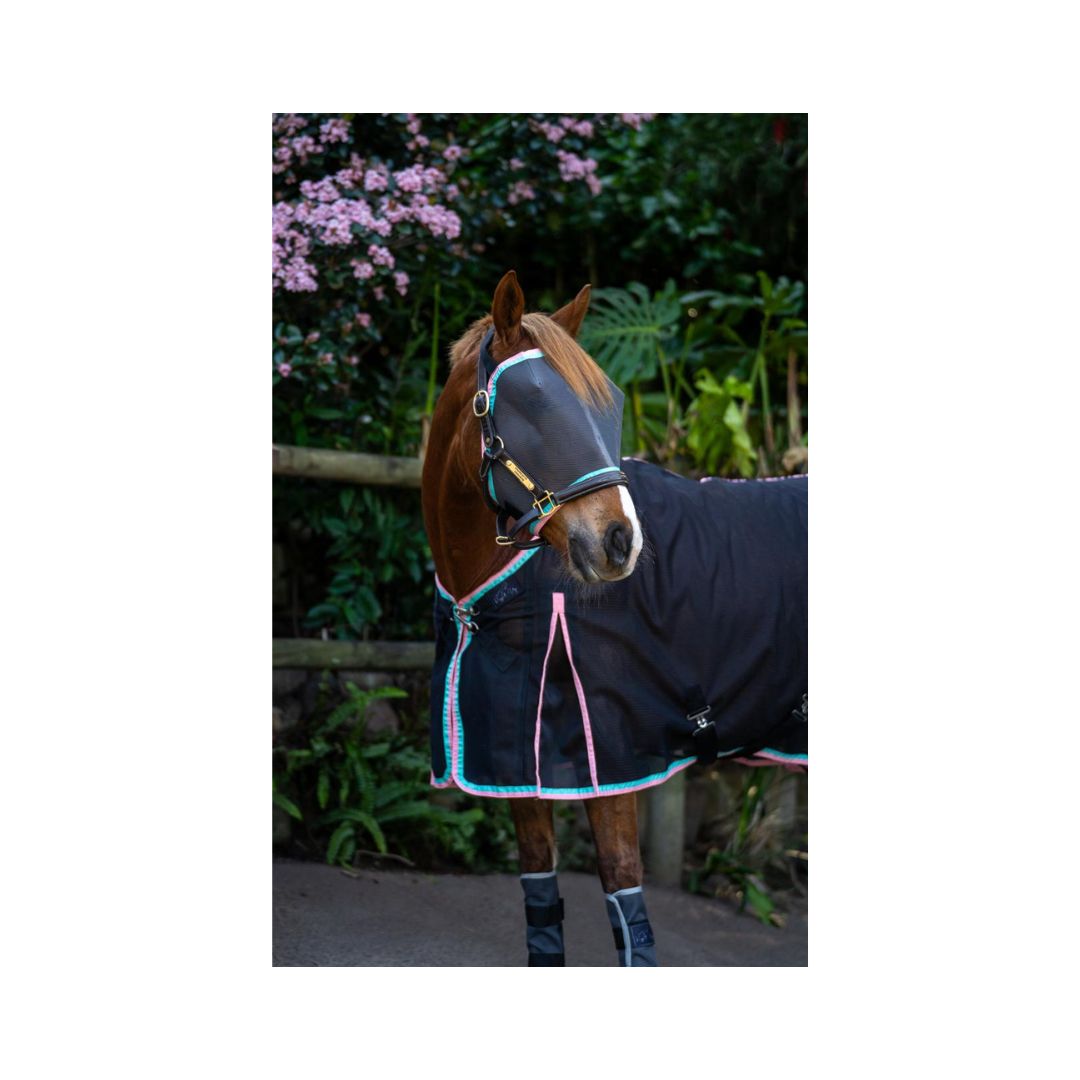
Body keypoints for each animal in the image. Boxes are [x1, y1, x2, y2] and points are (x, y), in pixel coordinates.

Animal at [421, 270, 807, 966]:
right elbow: (541, 905)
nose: (619, 542)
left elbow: (630, 916)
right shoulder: (520, 770)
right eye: (534, 403)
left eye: (612, 408)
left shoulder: (613, 768)